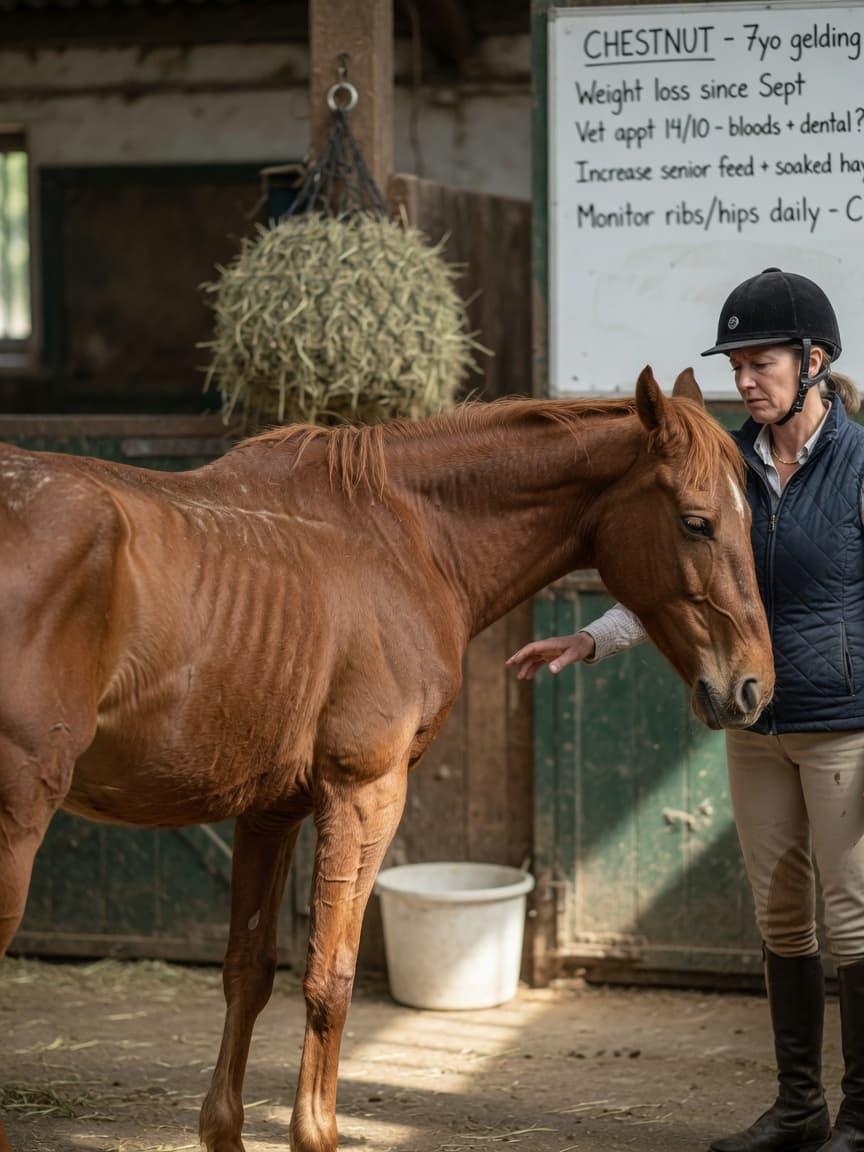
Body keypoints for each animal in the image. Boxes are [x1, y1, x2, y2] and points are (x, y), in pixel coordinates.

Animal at [0, 365, 773, 1152]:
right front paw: (315, 1132)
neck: (405, 540)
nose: (752, 686)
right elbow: (330, 978)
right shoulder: (364, 794)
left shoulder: (271, 811)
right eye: (698, 522)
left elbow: (249, 971)